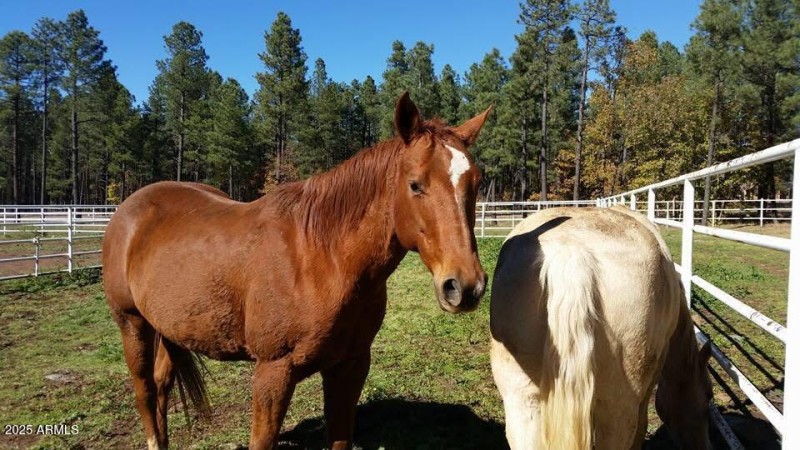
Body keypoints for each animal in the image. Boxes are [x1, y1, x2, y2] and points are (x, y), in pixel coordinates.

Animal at [102, 92, 491, 450]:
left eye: (475, 183)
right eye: (415, 184)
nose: (465, 286)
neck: (320, 259)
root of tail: (130, 208)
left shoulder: (350, 366)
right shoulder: (272, 372)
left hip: (169, 327)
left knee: (162, 386)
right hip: (131, 323)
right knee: (145, 392)